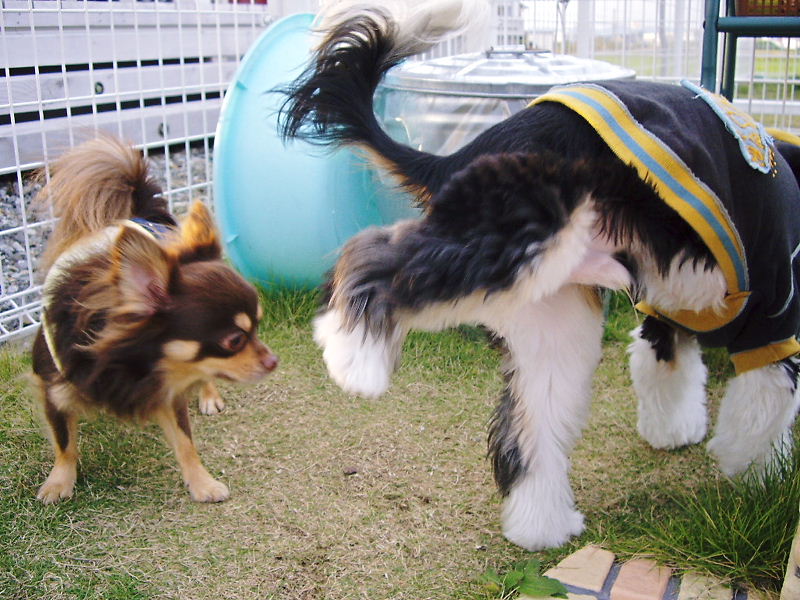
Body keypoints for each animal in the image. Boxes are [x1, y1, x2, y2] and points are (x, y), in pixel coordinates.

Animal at [32, 136, 278, 504]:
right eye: (235, 340)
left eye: (259, 327)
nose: (273, 360)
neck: (132, 365)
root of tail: (140, 212)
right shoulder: (53, 389)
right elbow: (64, 442)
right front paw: (59, 482)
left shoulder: (169, 390)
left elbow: (185, 441)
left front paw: (202, 483)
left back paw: (208, 395)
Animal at [278, 0, 800, 550]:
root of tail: (468, 151)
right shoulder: (773, 313)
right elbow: (764, 411)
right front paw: (761, 478)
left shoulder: (666, 316)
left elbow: (669, 372)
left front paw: (677, 432)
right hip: (513, 246)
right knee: (374, 259)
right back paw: (353, 358)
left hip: (549, 312)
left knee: (530, 432)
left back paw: (540, 528)